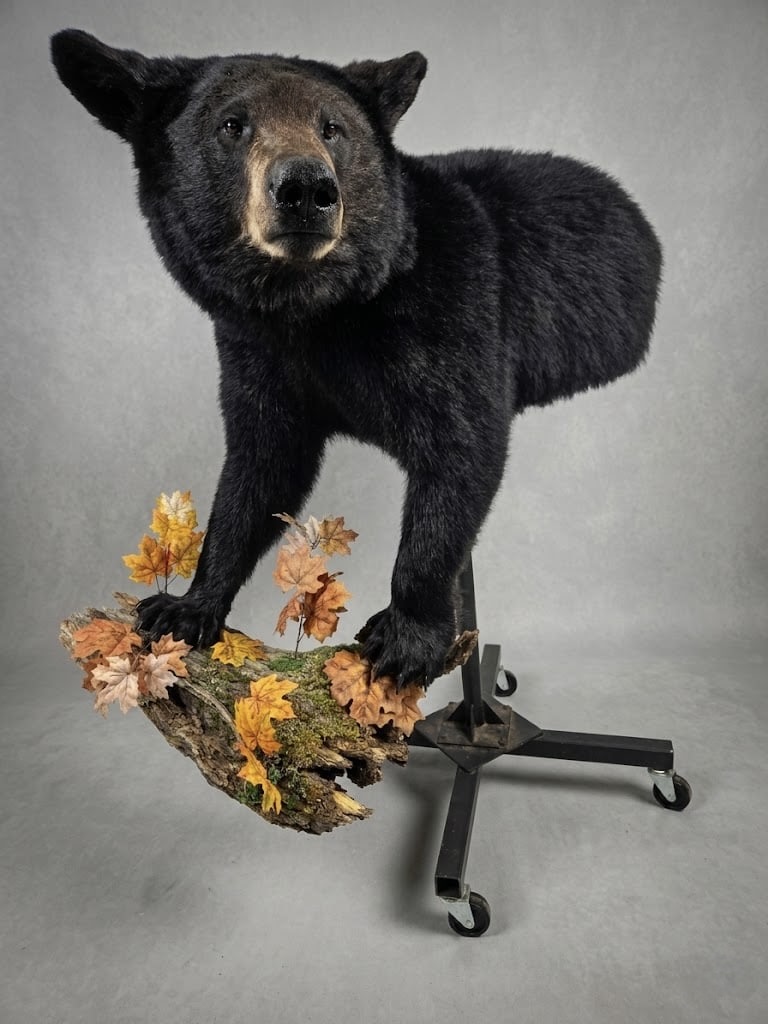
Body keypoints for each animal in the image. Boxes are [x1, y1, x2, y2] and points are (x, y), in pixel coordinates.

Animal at [51, 29, 662, 688]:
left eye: (333, 127)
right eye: (232, 124)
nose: (306, 189)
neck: (322, 310)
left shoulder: (458, 313)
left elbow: (461, 454)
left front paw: (406, 637)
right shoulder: (257, 354)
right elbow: (261, 469)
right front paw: (188, 605)